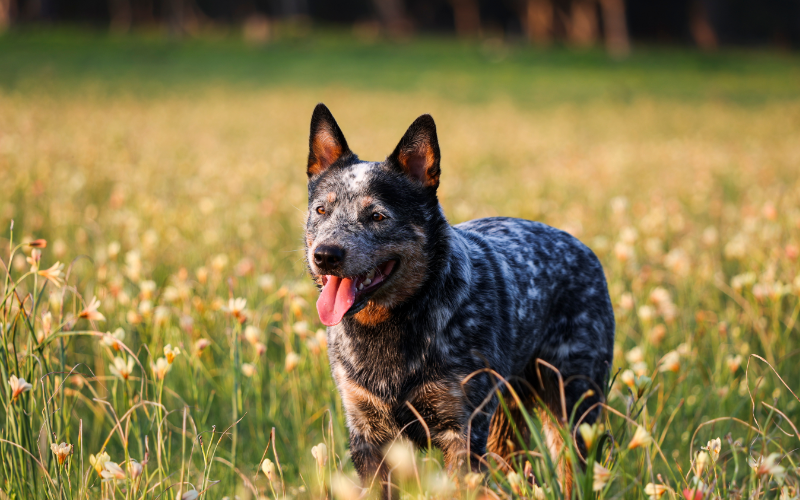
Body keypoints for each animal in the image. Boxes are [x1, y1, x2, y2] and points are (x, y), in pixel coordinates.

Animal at [304, 102, 616, 496]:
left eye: (376, 215)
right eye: (321, 211)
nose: (325, 254)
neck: (392, 326)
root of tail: (582, 246)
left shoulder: (462, 432)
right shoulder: (368, 434)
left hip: (572, 409)